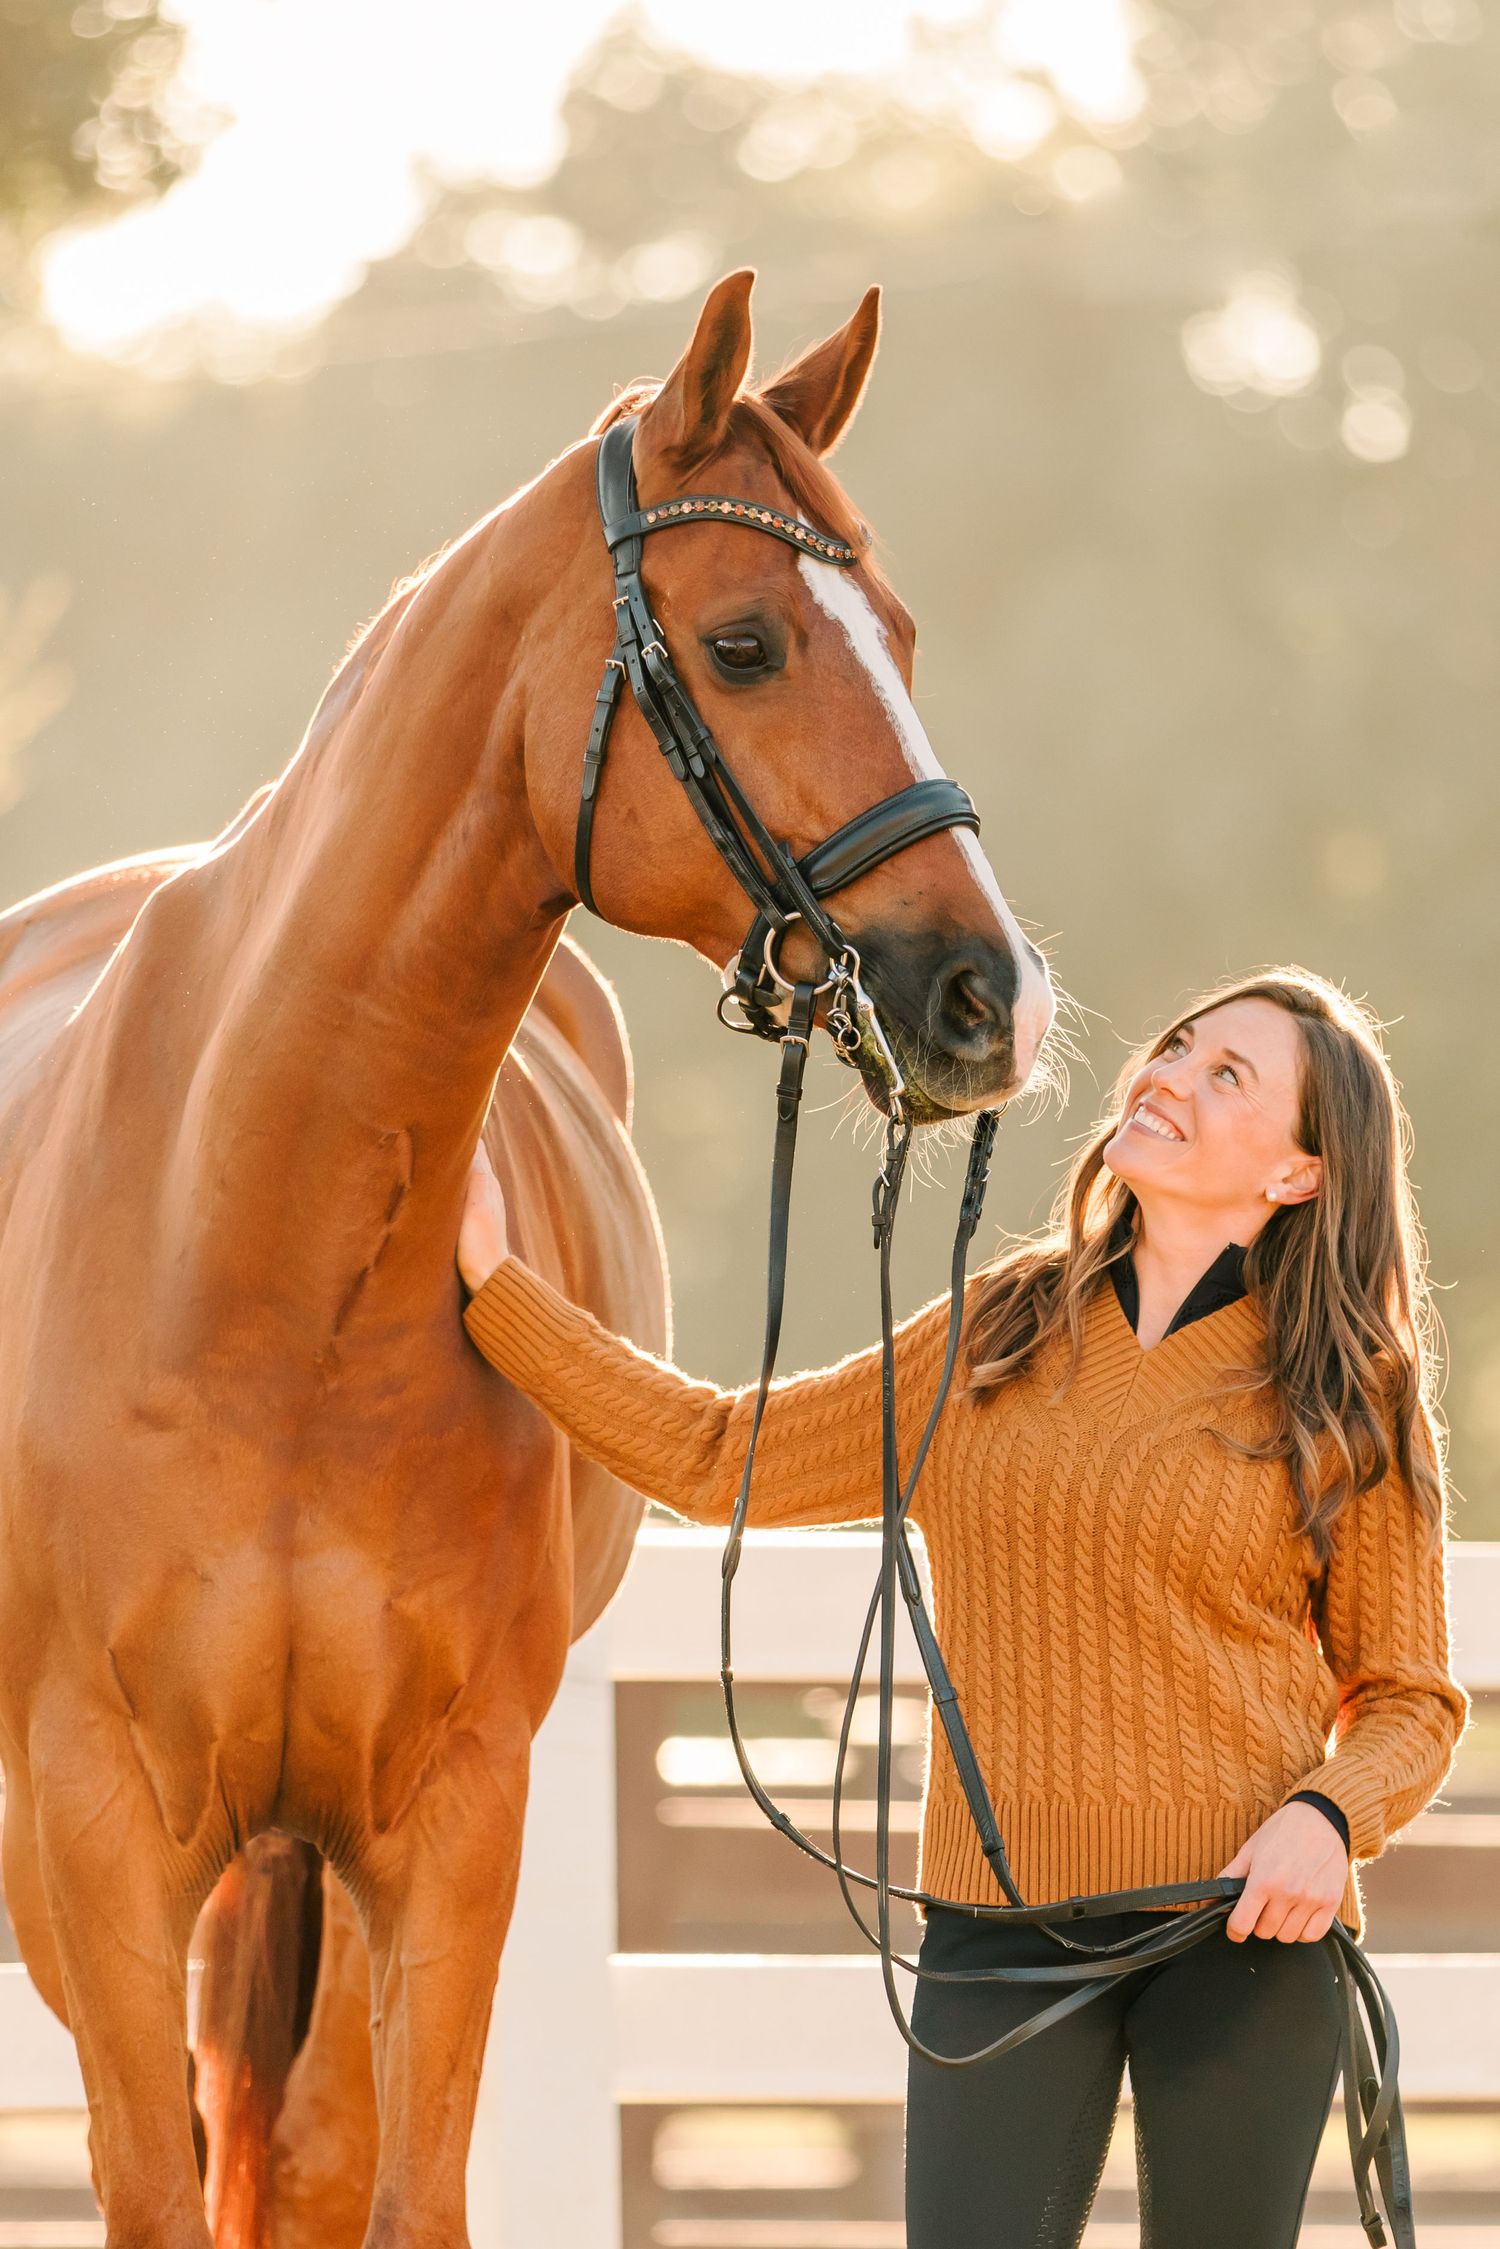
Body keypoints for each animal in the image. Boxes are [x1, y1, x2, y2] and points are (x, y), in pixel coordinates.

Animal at [0, 267, 1054, 2248]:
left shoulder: (449, 1818)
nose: (986, 997)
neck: (256, 1250)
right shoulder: (93, 1821)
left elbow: (402, 2192)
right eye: (743, 643)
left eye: (897, 629)